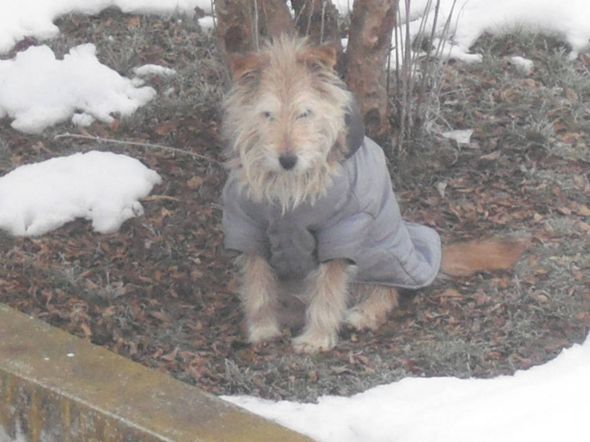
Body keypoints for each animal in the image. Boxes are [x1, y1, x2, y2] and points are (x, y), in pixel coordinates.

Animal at [222, 36, 528, 354]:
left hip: (379, 257)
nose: (287, 159)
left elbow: (328, 291)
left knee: (387, 291)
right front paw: (262, 329)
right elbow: (258, 286)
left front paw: (317, 337)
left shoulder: (340, 233)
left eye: (304, 113)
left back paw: (364, 313)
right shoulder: (249, 229)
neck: (290, 187)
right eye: (267, 115)